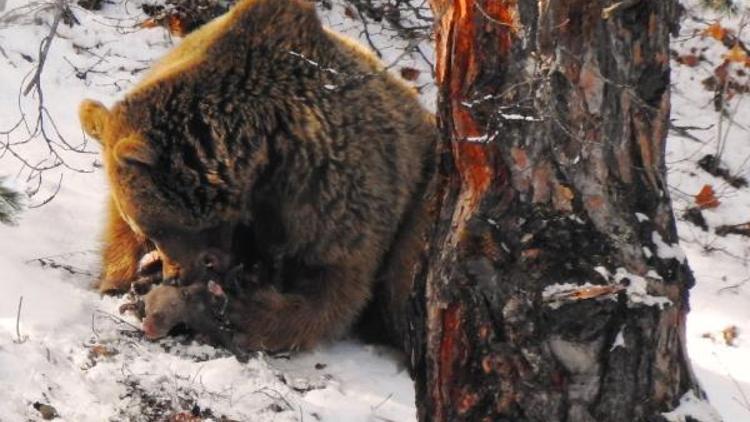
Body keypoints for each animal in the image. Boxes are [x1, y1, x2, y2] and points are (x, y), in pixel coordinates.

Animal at [78, 0, 434, 352]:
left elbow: (333, 288)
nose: (173, 275)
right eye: (148, 230)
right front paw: (118, 277)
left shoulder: (331, 191)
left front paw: (238, 312)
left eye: (158, 228)